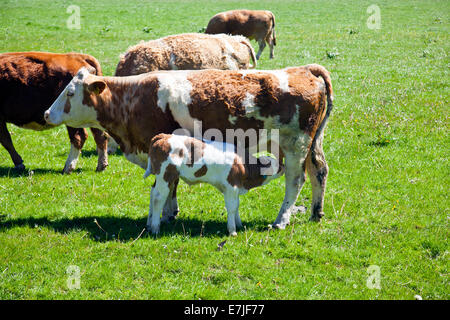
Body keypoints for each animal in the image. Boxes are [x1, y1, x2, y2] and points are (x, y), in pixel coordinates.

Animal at [145, 132, 284, 235]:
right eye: (275, 165)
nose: (283, 167)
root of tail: (164, 136)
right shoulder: (232, 186)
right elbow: (232, 207)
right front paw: (232, 230)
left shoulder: (234, 188)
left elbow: (237, 205)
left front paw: (239, 224)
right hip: (165, 176)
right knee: (158, 198)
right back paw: (155, 228)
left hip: (163, 178)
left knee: (152, 193)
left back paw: (149, 224)